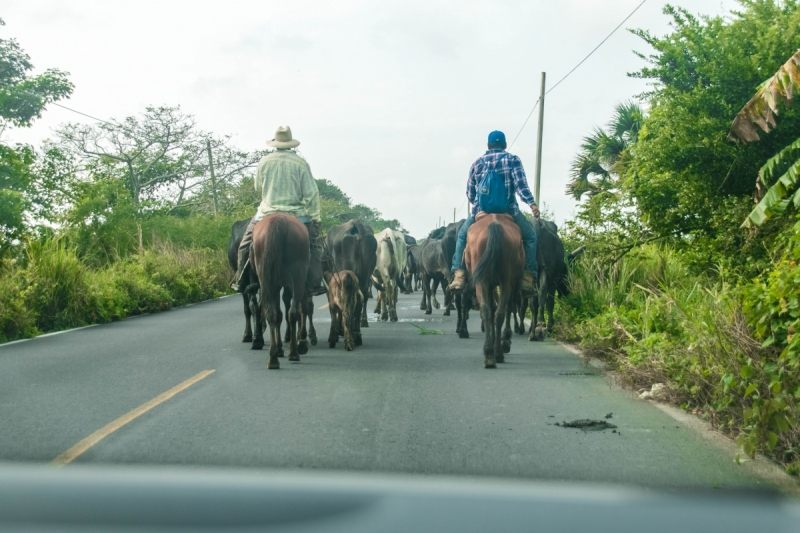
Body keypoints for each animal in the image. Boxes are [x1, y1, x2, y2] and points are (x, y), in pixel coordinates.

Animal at [250, 211, 310, 366]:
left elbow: (278, 314)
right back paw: (294, 352)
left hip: (267, 280)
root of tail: (279, 220)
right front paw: (300, 343)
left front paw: (279, 349)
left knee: (273, 313)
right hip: (298, 278)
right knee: (293, 312)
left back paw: (273, 358)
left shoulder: (275, 285)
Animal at [462, 212, 524, 366]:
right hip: (506, 281)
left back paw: (490, 353)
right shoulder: (512, 282)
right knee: (501, 311)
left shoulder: (489, 284)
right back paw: (498, 351)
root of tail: (494, 225)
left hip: (482, 281)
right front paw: (505, 340)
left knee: (487, 310)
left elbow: (491, 308)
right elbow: (509, 306)